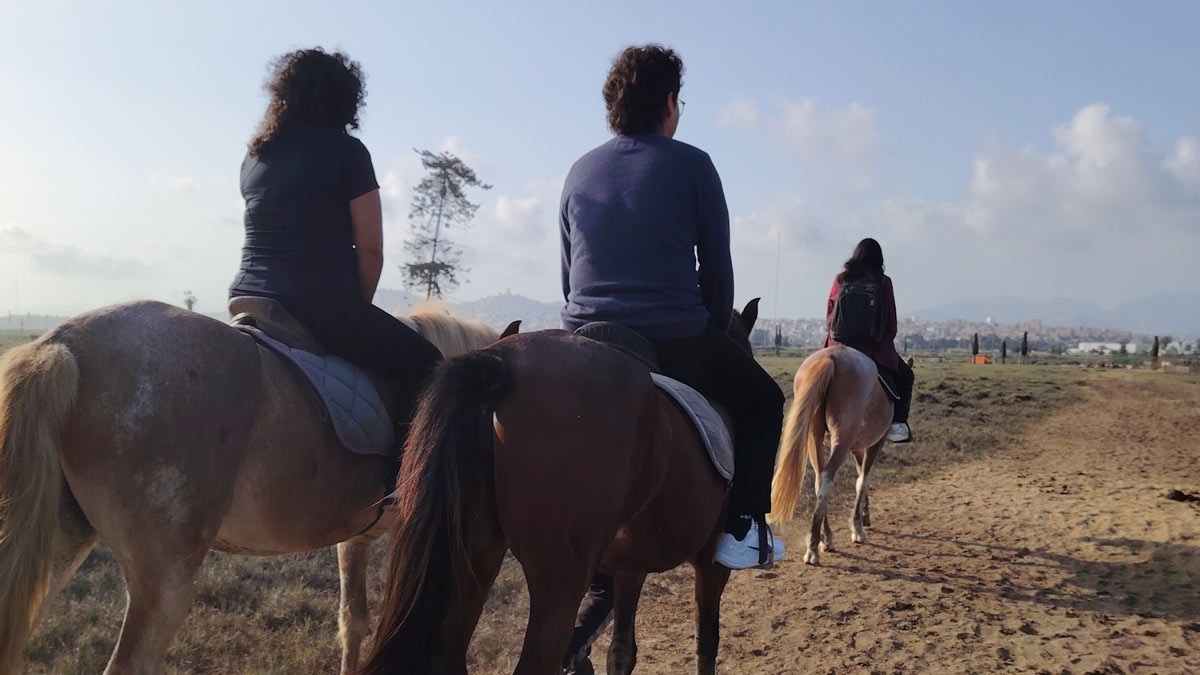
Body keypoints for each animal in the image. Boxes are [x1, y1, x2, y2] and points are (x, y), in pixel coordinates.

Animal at [360, 302, 763, 672]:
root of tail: (501, 362)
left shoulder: (630, 567)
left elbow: (622, 652)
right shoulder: (711, 564)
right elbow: (707, 642)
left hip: (475, 560)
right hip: (559, 583)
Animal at [768, 343, 892, 564]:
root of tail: (831, 357)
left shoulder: (857, 447)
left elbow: (860, 475)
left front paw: (863, 516)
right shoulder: (877, 441)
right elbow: (863, 480)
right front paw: (858, 529)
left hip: (814, 436)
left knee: (820, 480)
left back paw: (825, 539)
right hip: (841, 438)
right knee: (827, 480)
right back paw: (813, 548)